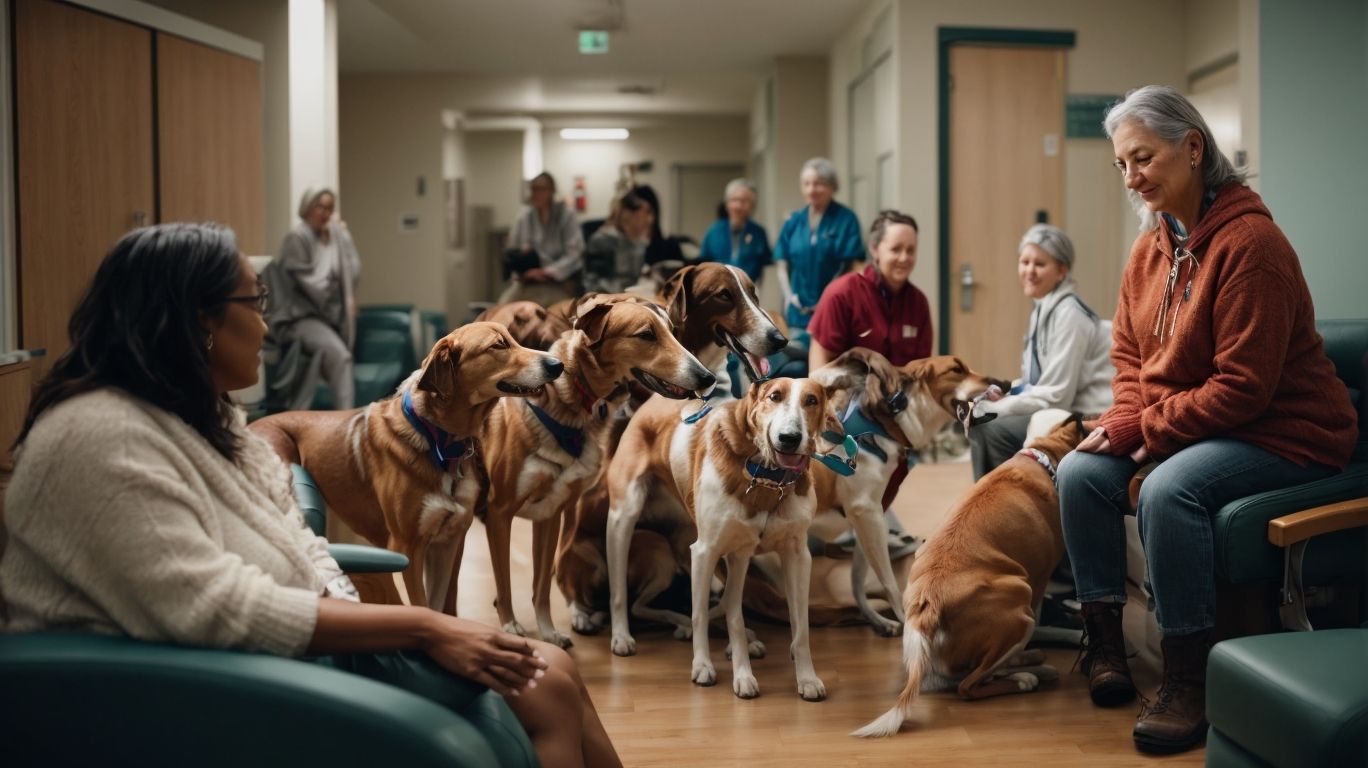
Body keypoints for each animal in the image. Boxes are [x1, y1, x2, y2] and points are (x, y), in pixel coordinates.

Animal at [250, 321, 560, 610]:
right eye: (498, 345)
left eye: (514, 339)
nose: (557, 364)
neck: (442, 442)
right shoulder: (406, 547)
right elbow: (421, 606)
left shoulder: (447, 543)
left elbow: (437, 604)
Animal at [478, 292, 716, 646]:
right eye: (647, 335)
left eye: (673, 332)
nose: (707, 377)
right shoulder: (500, 512)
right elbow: (506, 580)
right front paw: (510, 626)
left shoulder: (550, 512)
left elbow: (540, 586)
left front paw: (548, 631)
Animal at [607, 377, 837, 700]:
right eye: (774, 396)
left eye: (812, 400)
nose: (790, 438)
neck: (767, 479)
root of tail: (651, 402)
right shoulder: (705, 551)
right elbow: (702, 614)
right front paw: (703, 666)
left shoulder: (795, 555)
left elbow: (799, 624)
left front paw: (806, 678)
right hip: (625, 522)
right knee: (623, 595)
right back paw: (622, 636)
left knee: (724, 601)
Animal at [853, 413, 1088, 739]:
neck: (1041, 457)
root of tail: (928, 608)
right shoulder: (1039, 582)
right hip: (1021, 608)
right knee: (970, 684)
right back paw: (1028, 677)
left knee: (968, 674)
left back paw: (1029, 664)